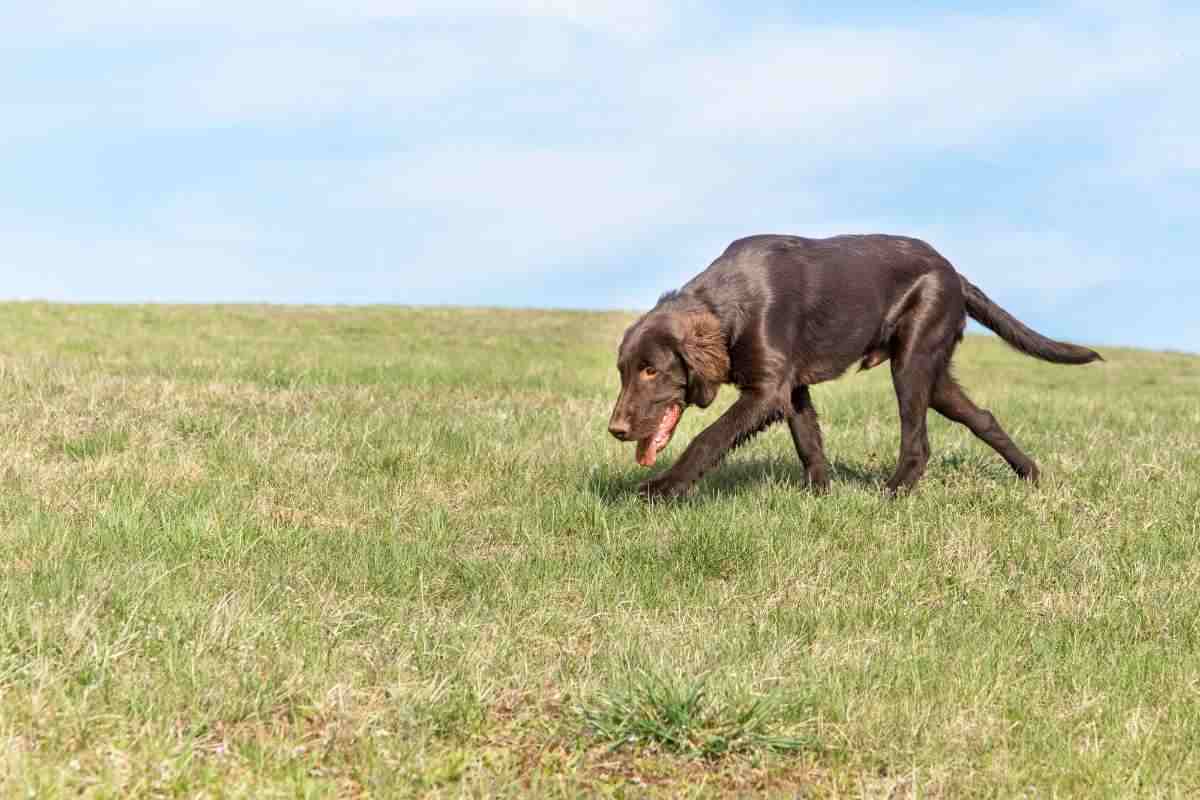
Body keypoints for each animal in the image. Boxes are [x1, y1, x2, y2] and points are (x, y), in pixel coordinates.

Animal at [609, 235, 1099, 496]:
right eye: (623, 370)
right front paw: (819, 495)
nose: (616, 429)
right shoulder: (791, 389)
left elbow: (709, 437)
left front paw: (664, 487)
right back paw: (1031, 475)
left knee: (918, 442)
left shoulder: (767, 390)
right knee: (983, 418)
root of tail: (953, 273)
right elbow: (809, 443)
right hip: (936, 378)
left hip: (912, 362)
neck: (730, 305)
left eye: (651, 370)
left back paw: (893, 494)